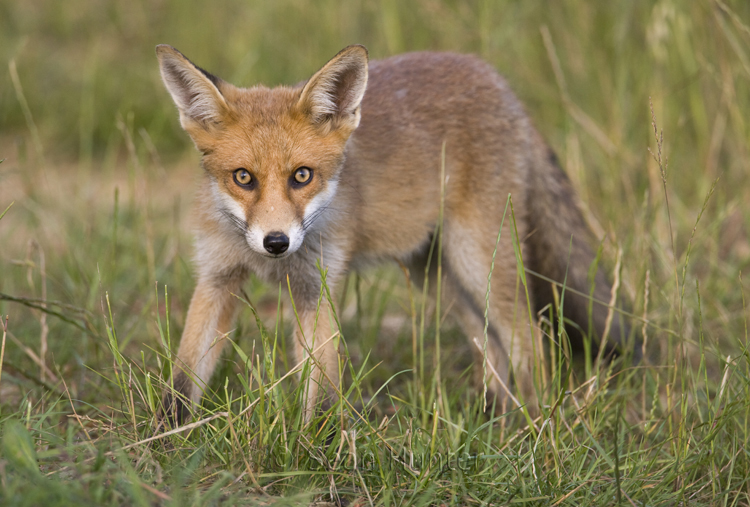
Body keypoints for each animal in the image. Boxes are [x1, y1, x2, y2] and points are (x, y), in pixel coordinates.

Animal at [159, 43, 636, 424]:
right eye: (243, 177)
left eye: (302, 176)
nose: (276, 242)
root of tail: (496, 79)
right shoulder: (217, 277)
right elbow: (183, 376)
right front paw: (166, 442)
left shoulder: (318, 286)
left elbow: (322, 391)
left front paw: (314, 452)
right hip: (439, 276)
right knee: (491, 345)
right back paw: (495, 417)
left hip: (477, 259)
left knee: (529, 339)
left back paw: (535, 425)